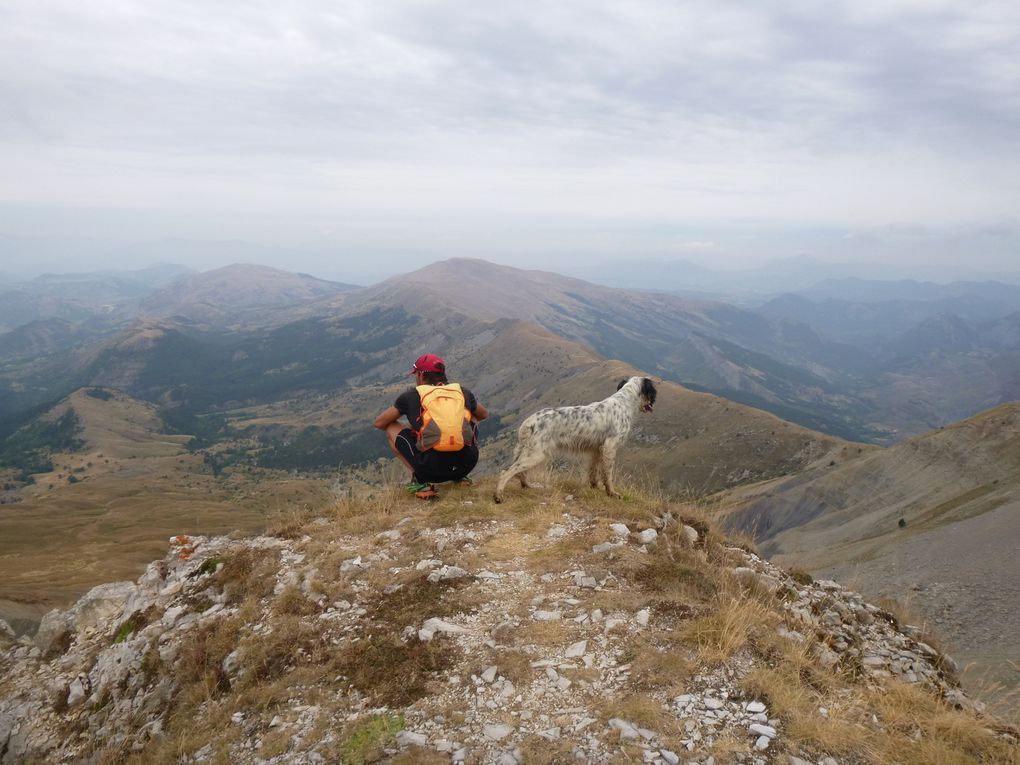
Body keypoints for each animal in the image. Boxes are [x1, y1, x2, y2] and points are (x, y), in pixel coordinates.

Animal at [495, 375, 660, 503]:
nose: (652, 404)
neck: (624, 402)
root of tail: (529, 422)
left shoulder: (596, 449)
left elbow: (594, 471)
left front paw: (595, 487)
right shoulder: (610, 447)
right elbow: (608, 475)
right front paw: (612, 493)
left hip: (529, 451)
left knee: (519, 471)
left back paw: (527, 486)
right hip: (536, 453)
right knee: (506, 472)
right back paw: (498, 496)